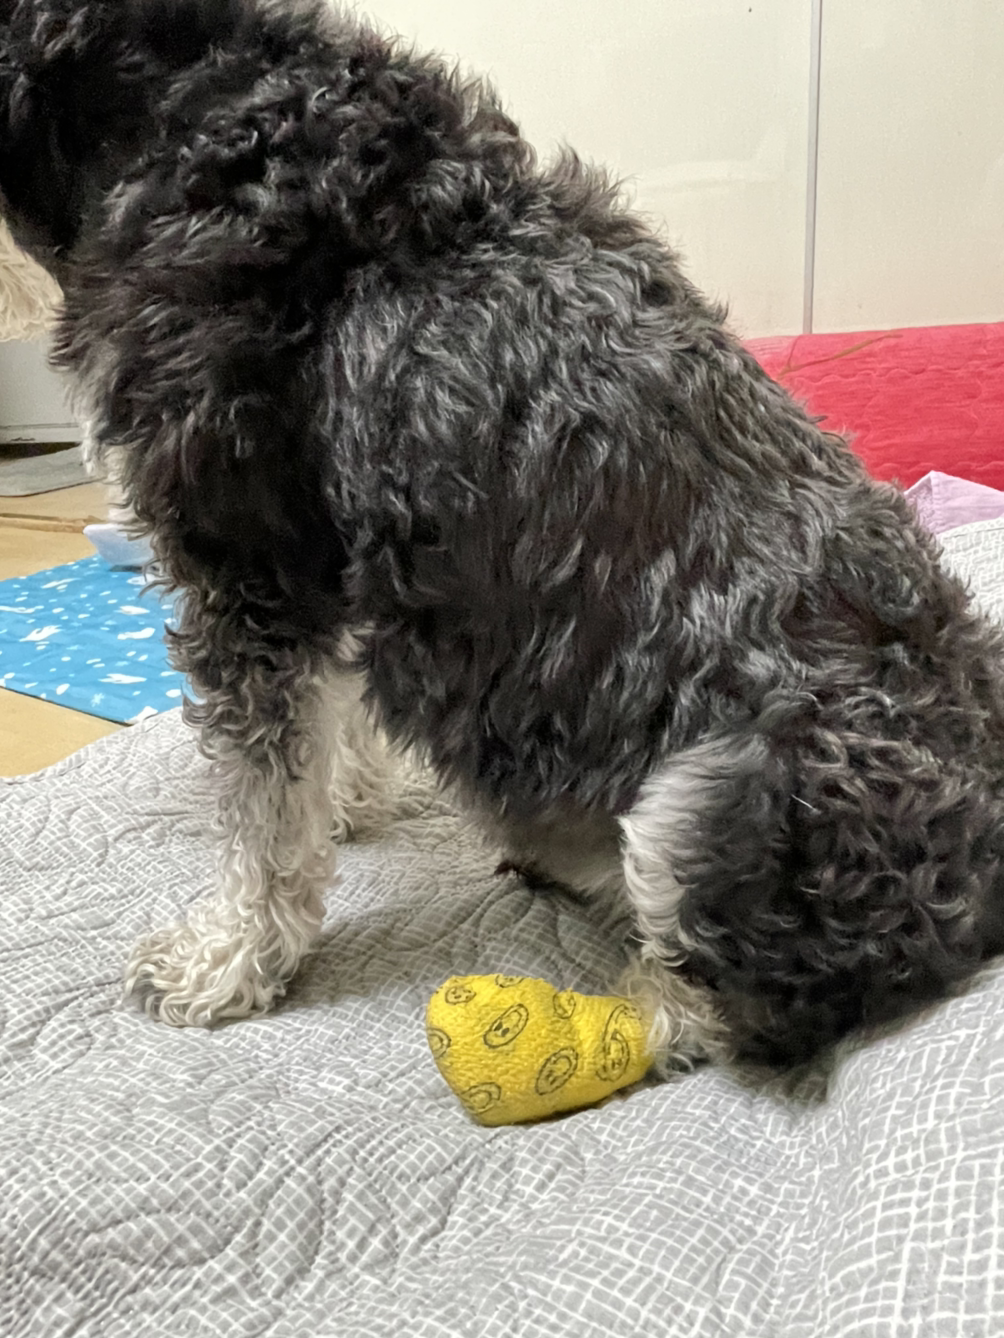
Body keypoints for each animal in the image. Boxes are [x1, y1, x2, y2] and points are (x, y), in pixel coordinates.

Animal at [4, 0, 1004, 1075]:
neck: (190, 103)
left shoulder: (244, 559)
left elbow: (260, 806)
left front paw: (227, 960)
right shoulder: (331, 569)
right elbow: (324, 725)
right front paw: (351, 802)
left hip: (721, 804)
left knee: (724, 1008)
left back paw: (559, 1021)